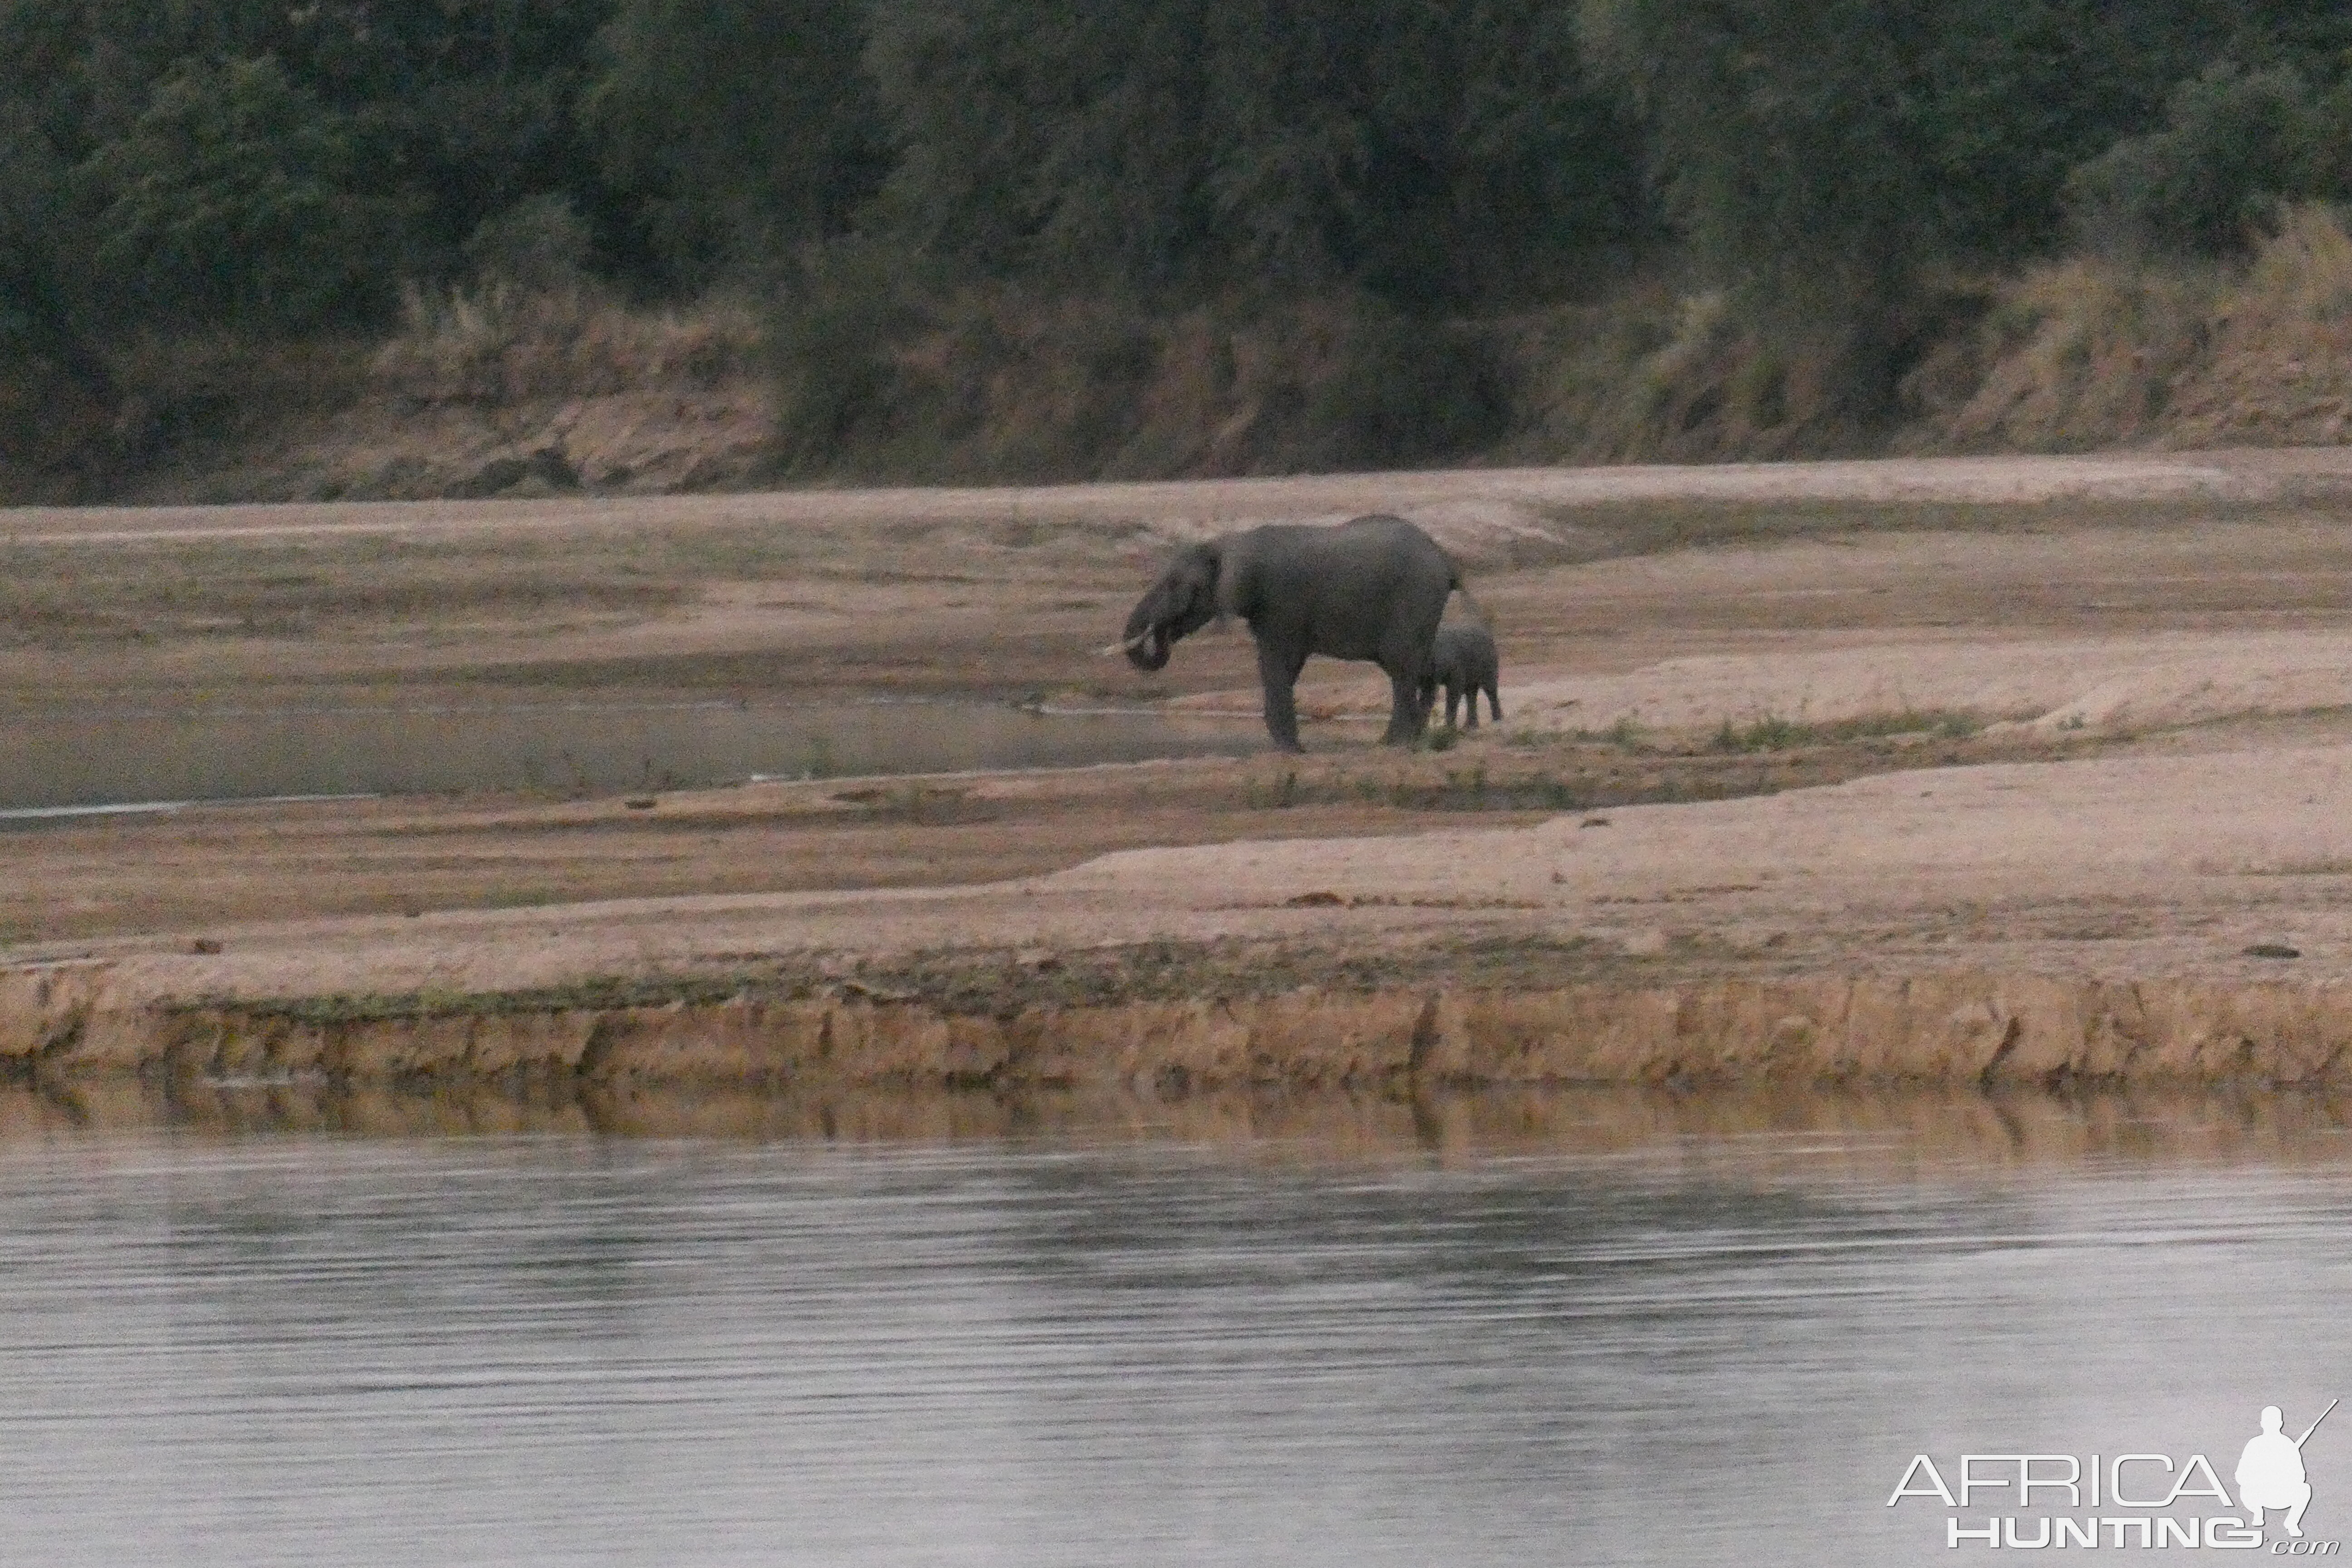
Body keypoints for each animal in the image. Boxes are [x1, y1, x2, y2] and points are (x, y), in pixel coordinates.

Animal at [1105, 514, 1467, 752]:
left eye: (1173, 584)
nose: (1162, 634)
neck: (1229, 542)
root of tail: (1446, 560)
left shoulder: (1282, 601)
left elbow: (1278, 662)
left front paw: (1289, 750)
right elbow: (1282, 667)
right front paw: (1288, 747)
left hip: (1414, 599)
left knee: (1401, 669)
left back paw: (1393, 744)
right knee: (1416, 668)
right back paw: (1411, 741)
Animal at [1421, 620, 1496, 733]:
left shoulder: (1456, 665)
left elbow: (1454, 691)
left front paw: (1449, 729)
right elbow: (1428, 695)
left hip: (1489, 662)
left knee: (1490, 690)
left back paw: (1497, 721)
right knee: (1471, 694)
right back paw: (1470, 727)